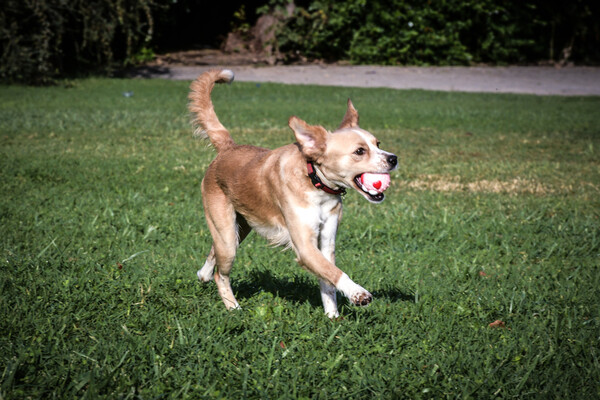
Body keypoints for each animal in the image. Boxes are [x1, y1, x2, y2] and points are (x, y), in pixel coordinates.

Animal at [190, 69, 396, 318]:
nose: (394, 159)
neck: (315, 183)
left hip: (240, 227)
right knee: (222, 274)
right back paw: (233, 307)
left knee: (214, 255)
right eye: (359, 151)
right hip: (227, 233)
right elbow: (334, 272)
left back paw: (203, 274)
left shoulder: (326, 241)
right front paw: (358, 293)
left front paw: (332, 317)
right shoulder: (305, 246)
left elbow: (328, 279)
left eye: (378, 144)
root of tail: (228, 148)